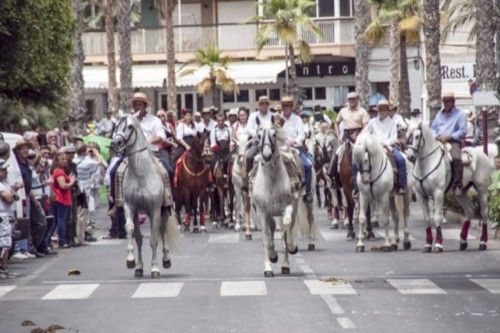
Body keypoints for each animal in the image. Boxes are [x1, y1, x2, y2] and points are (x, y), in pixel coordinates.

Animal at [112, 115, 180, 276]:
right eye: (117, 125)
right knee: (139, 238)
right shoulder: (130, 207)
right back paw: (139, 267)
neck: (140, 175)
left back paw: (166, 260)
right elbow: (130, 229)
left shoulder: (154, 209)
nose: (116, 142)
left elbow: (154, 240)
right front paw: (131, 261)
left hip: (163, 211)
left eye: (130, 126)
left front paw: (155, 268)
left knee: (162, 231)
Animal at [254, 119, 308, 278]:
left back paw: (285, 264)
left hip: (294, 207)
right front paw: (269, 264)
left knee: (287, 228)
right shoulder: (262, 212)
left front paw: (291, 247)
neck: (271, 182)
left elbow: (286, 226)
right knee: (272, 228)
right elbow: (266, 237)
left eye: (274, 134)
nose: (266, 155)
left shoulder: (288, 207)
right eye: (258, 135)